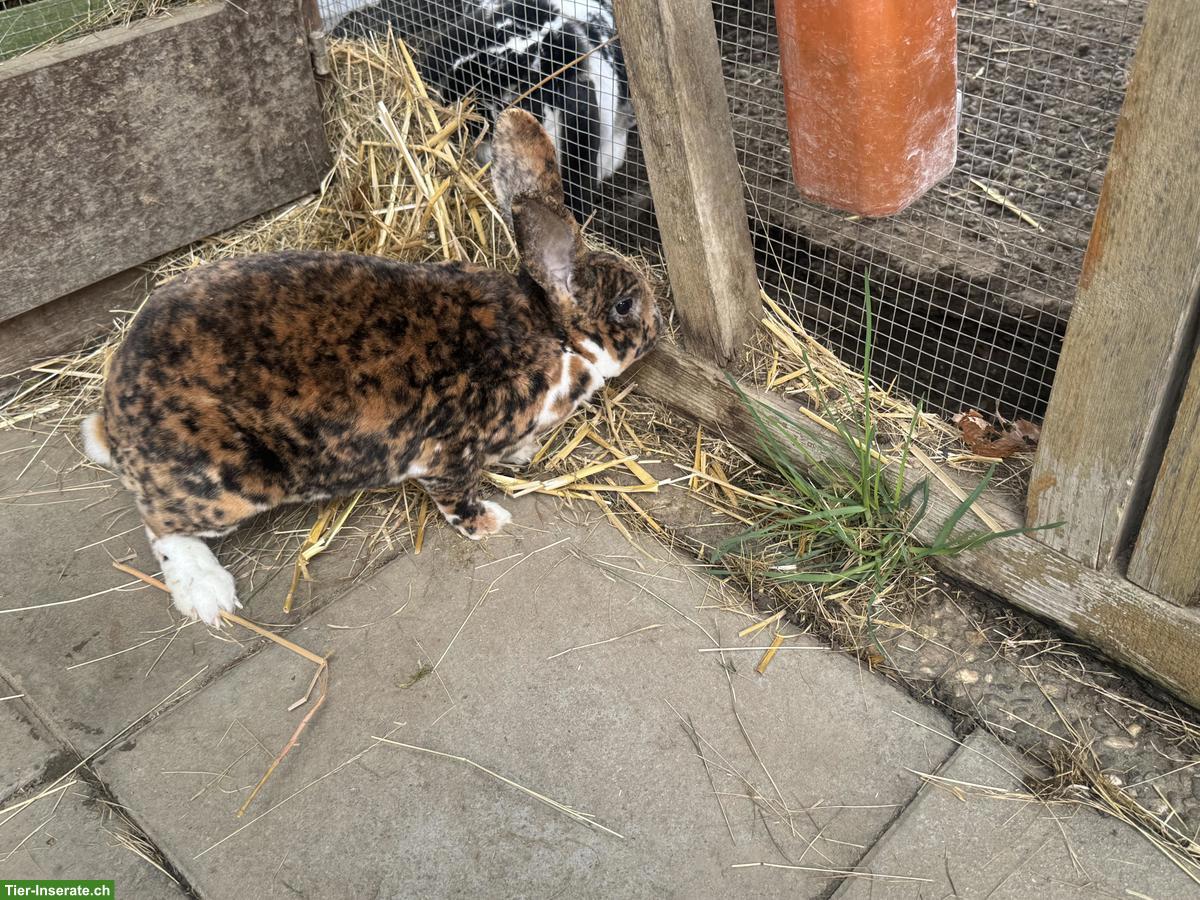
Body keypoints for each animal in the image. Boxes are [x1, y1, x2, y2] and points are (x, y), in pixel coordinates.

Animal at [80, 109, 660, 628]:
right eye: (625, 305)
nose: (658, 328)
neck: (550, 332)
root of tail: (115, 420)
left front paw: (521, 453)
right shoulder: (447, 454)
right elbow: (456, 496)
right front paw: (489, 521)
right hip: (229, 483)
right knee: (160, 524)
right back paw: (207, 593)